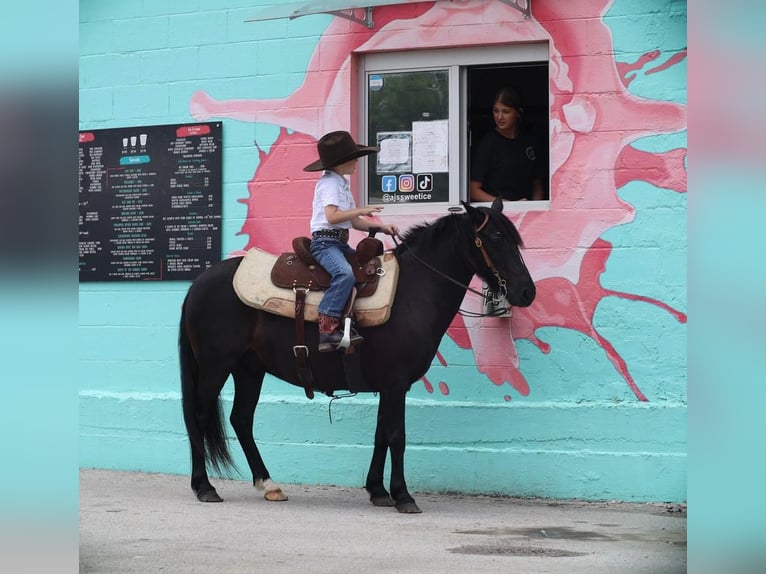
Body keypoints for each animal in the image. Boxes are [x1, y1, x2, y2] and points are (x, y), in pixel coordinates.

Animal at [181, 198, 536, 512]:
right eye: (496, 237)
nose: (527, 292)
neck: (413, 292)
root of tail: (199, 283)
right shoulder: (395, 383)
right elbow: (396, 435)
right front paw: (403, 496)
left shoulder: (389, 385)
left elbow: (381, 433)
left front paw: (378, 490)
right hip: (215, 366)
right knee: (199, 415)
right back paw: (204, 486)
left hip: (249, 369)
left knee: (241, 418)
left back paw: (268, 484)